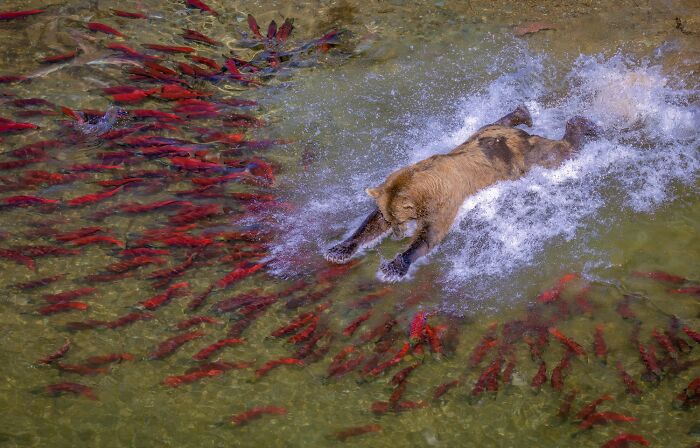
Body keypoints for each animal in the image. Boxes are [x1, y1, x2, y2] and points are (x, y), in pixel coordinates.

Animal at [324, 106, 599, 281]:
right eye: (390, 218)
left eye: (400, 220)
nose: (397, 235)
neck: (423, 186)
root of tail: (517, 136)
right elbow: (371, 224)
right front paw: (338, 250)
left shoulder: (444, 201)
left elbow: (430, 234)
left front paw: (393, 266)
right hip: (485, 132)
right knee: (499, 120)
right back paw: (524, 112)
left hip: (527, 156)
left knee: (558, 152)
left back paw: (584, 124)